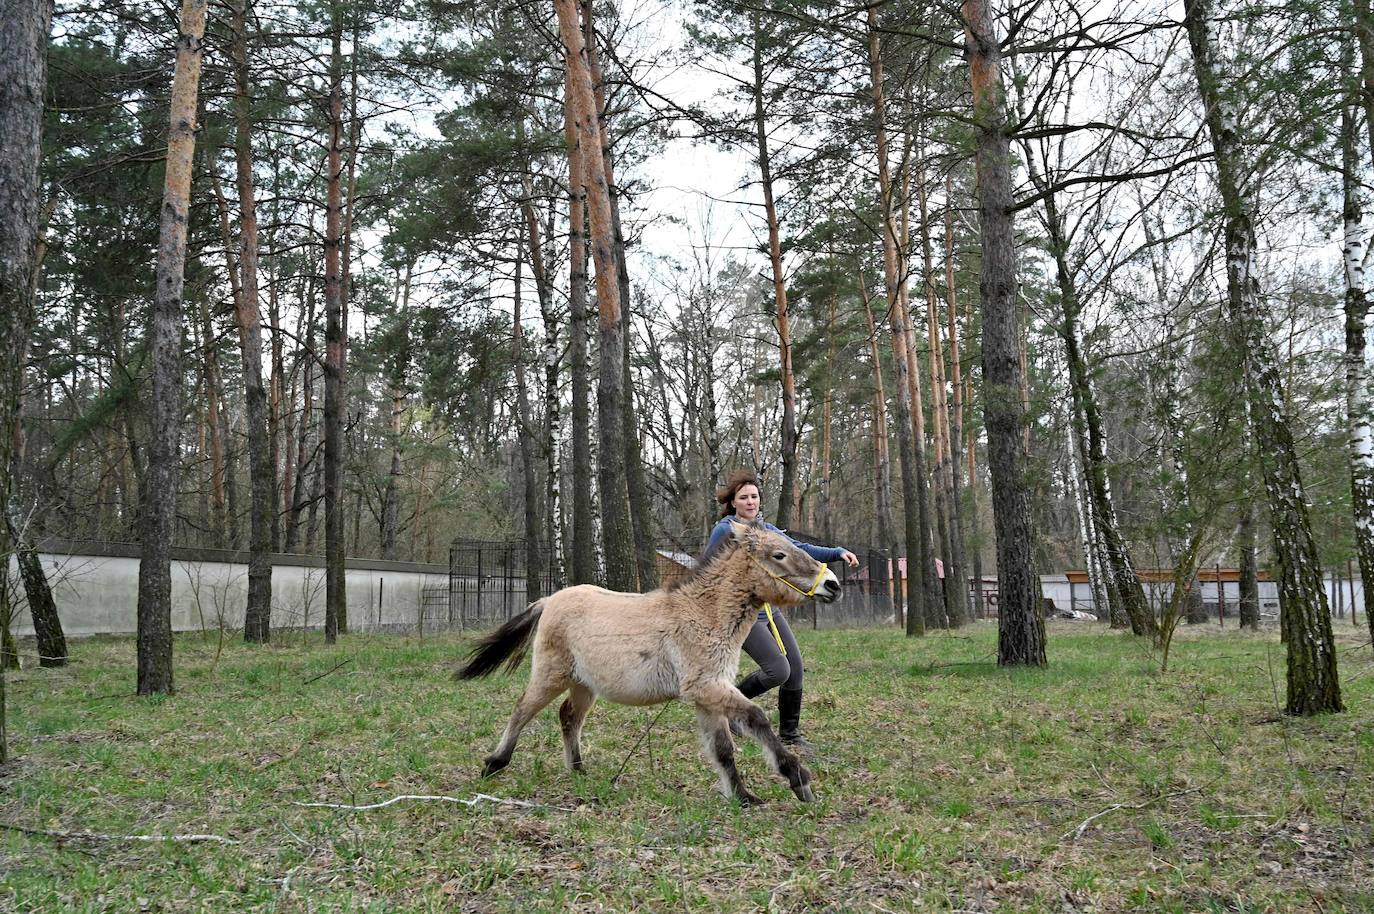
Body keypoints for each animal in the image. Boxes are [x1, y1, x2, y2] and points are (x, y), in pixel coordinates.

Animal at [453, 516, 835, 802]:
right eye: (779, 554)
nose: (831, 584)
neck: (702, 613)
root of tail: (549, 600)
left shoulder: (708, 694)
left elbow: (723, 748)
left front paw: (743, 797)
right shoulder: (707, 688)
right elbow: (756, 717)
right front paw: (798, 778)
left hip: (584, 685)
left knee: (569, 717)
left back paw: (578, 770)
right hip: (551, 675)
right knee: (522, 710)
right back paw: (494, 764)